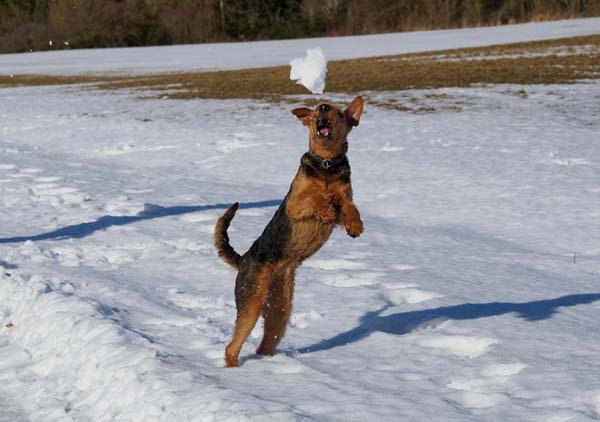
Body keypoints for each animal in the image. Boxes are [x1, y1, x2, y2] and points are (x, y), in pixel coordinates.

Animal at [216, 95, 366, 366]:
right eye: (317, 110)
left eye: (340, 113)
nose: (324, 108)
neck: (326, 164)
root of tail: (242, 260)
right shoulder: (295, 203)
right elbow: (314, 199)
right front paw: (325, 209)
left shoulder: (344, 196)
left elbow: (348, 205)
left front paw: (355, 226)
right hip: (251, 303)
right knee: (232, 345)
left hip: (280, 309)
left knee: (265, 342)